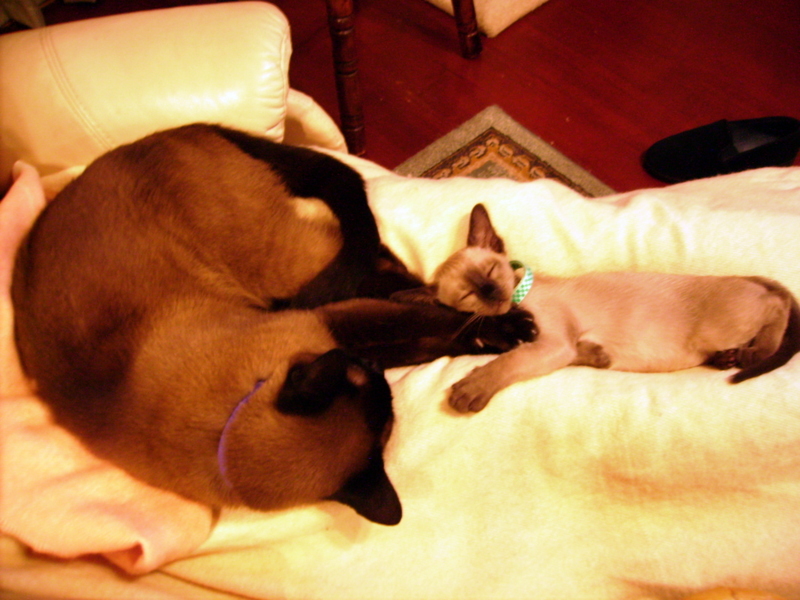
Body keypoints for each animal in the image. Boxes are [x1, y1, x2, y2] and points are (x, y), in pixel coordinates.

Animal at [11, 126, 534, 525]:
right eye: (366, 379)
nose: (367, 365)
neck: (226, 427)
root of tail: (167, 133)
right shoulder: (336, 333)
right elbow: (427, 331)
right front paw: (498, 330)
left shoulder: (324, 324)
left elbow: (428, 322)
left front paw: (507, 325)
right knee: (386, 267)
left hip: (286, 262)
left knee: (382, 258)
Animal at [395, 203, 800, 413]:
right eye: (468, 296)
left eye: (492, 270)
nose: (492, 292)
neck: (518, 301)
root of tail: (744, 277)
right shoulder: (559, 348)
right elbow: (577, 355)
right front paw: (598, 356)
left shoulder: (551, 345)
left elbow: (505, 363)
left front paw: (469, 391)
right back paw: (728, 358)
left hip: (724, 325)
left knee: (777, 305)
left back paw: (754, 353)